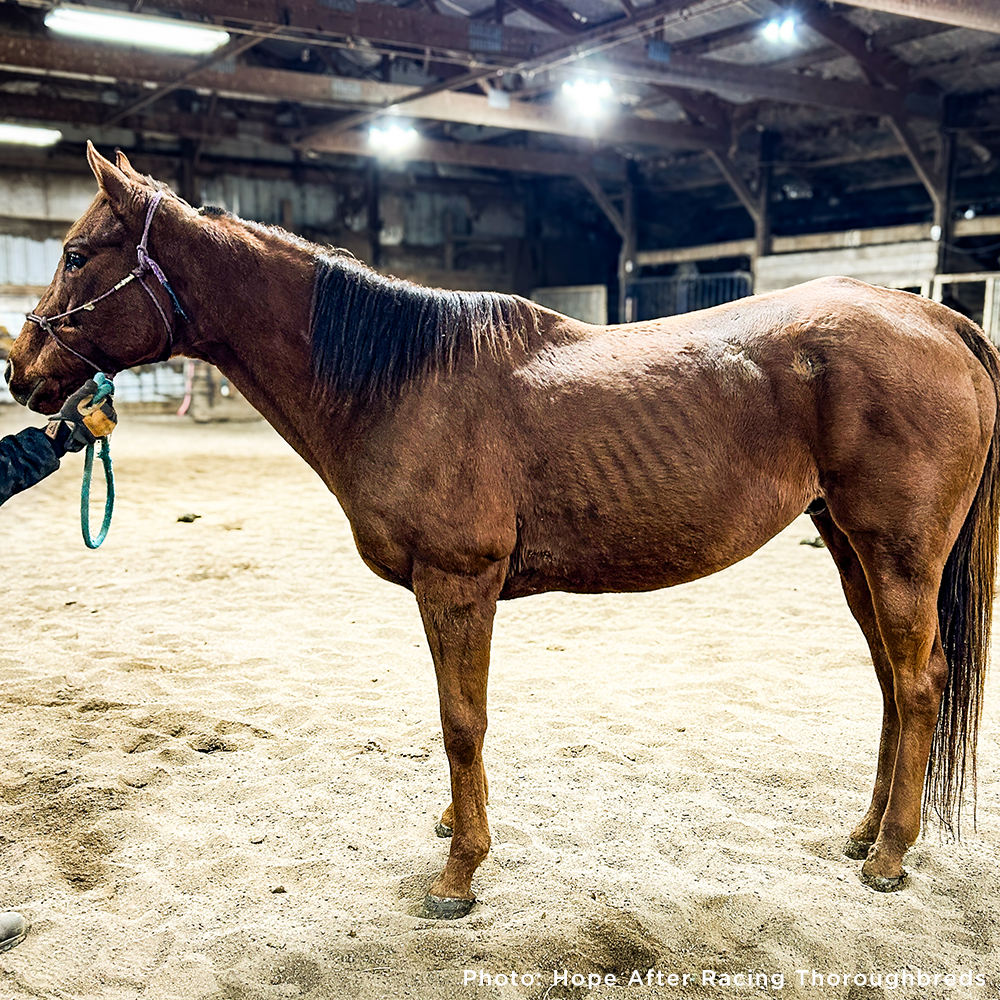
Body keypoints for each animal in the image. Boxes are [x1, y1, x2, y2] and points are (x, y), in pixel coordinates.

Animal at [7, 142, 999, 919]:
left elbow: (461, 720)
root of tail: (939, 316)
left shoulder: (458, 583)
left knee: (920, 684)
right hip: (849, 548)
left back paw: (890, 856)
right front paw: (458, 822)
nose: (22, 372)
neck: (400, 382)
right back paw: (864, 832)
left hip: (898, 555)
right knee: (891, 680)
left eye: (77, 253)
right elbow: (456, 720)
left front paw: (459, 872)